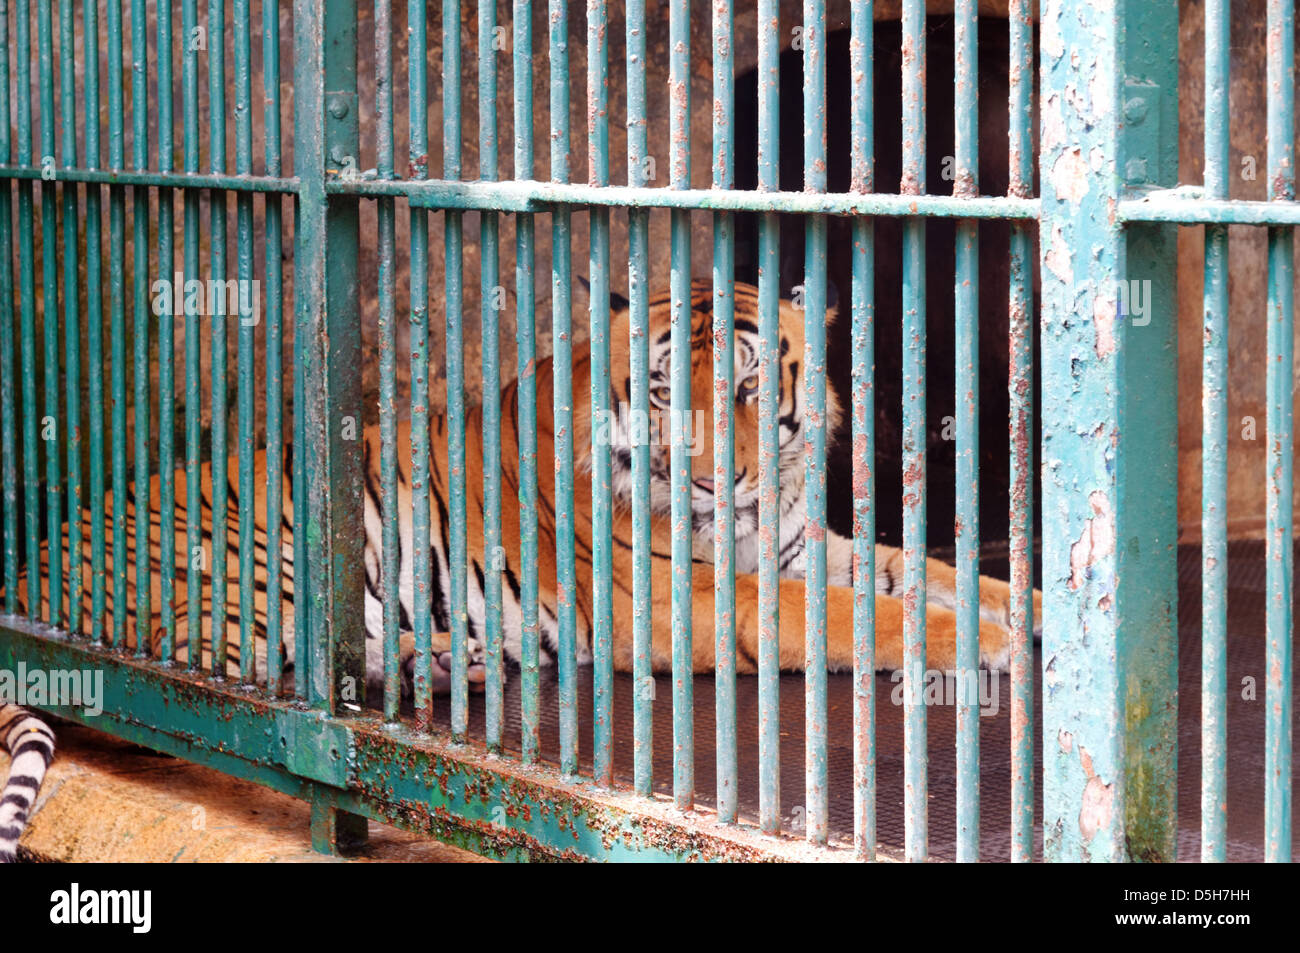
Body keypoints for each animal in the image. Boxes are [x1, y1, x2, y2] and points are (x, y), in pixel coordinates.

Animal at [15, 278, 1040, 702]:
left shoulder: (804, 546)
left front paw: (1033, 610)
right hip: (260, 564)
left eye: (750, 388)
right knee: (243, 671)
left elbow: (928, 574)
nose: (714, 478)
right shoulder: (679, 594)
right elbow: (874, 615)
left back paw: (449, 663)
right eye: (664, 392)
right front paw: (992, 647)